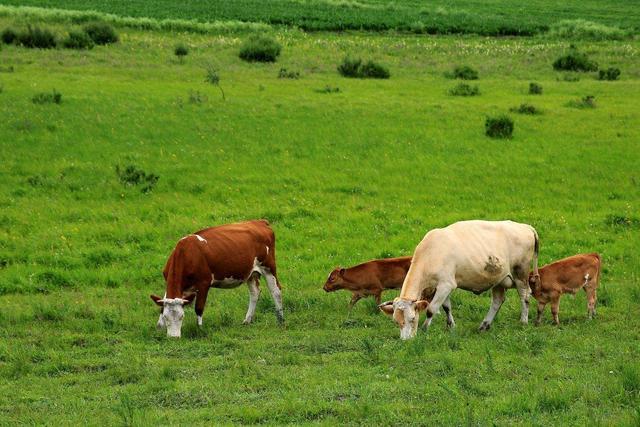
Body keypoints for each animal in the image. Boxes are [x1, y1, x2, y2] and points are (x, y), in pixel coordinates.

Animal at [151, 221, 284, 338]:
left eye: (182, 316)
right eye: (166, 317)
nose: (174, 337)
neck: (186, 254)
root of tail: (260, 222)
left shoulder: (204, 284)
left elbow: (199, 308)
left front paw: (199, 329)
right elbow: (162, 304)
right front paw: (159, 327)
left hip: (268, 267)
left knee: (276, 291)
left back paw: (281, 320)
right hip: (251, 273)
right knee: (255, 292)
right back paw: (247, 320)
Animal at [380, 221, 540, 342]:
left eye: (412, 319)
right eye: (396, 321)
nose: (405, 340)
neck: (431, 253)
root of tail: (525, 226)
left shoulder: (446, 284)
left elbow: (431, 309)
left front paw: (424, 329)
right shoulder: (441, 286)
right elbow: (446, 307)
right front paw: (451, 326)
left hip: (520, 273)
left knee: (525, 296)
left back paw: (523, 321)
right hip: (499, 279)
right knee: (497, 301)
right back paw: (484, 325)